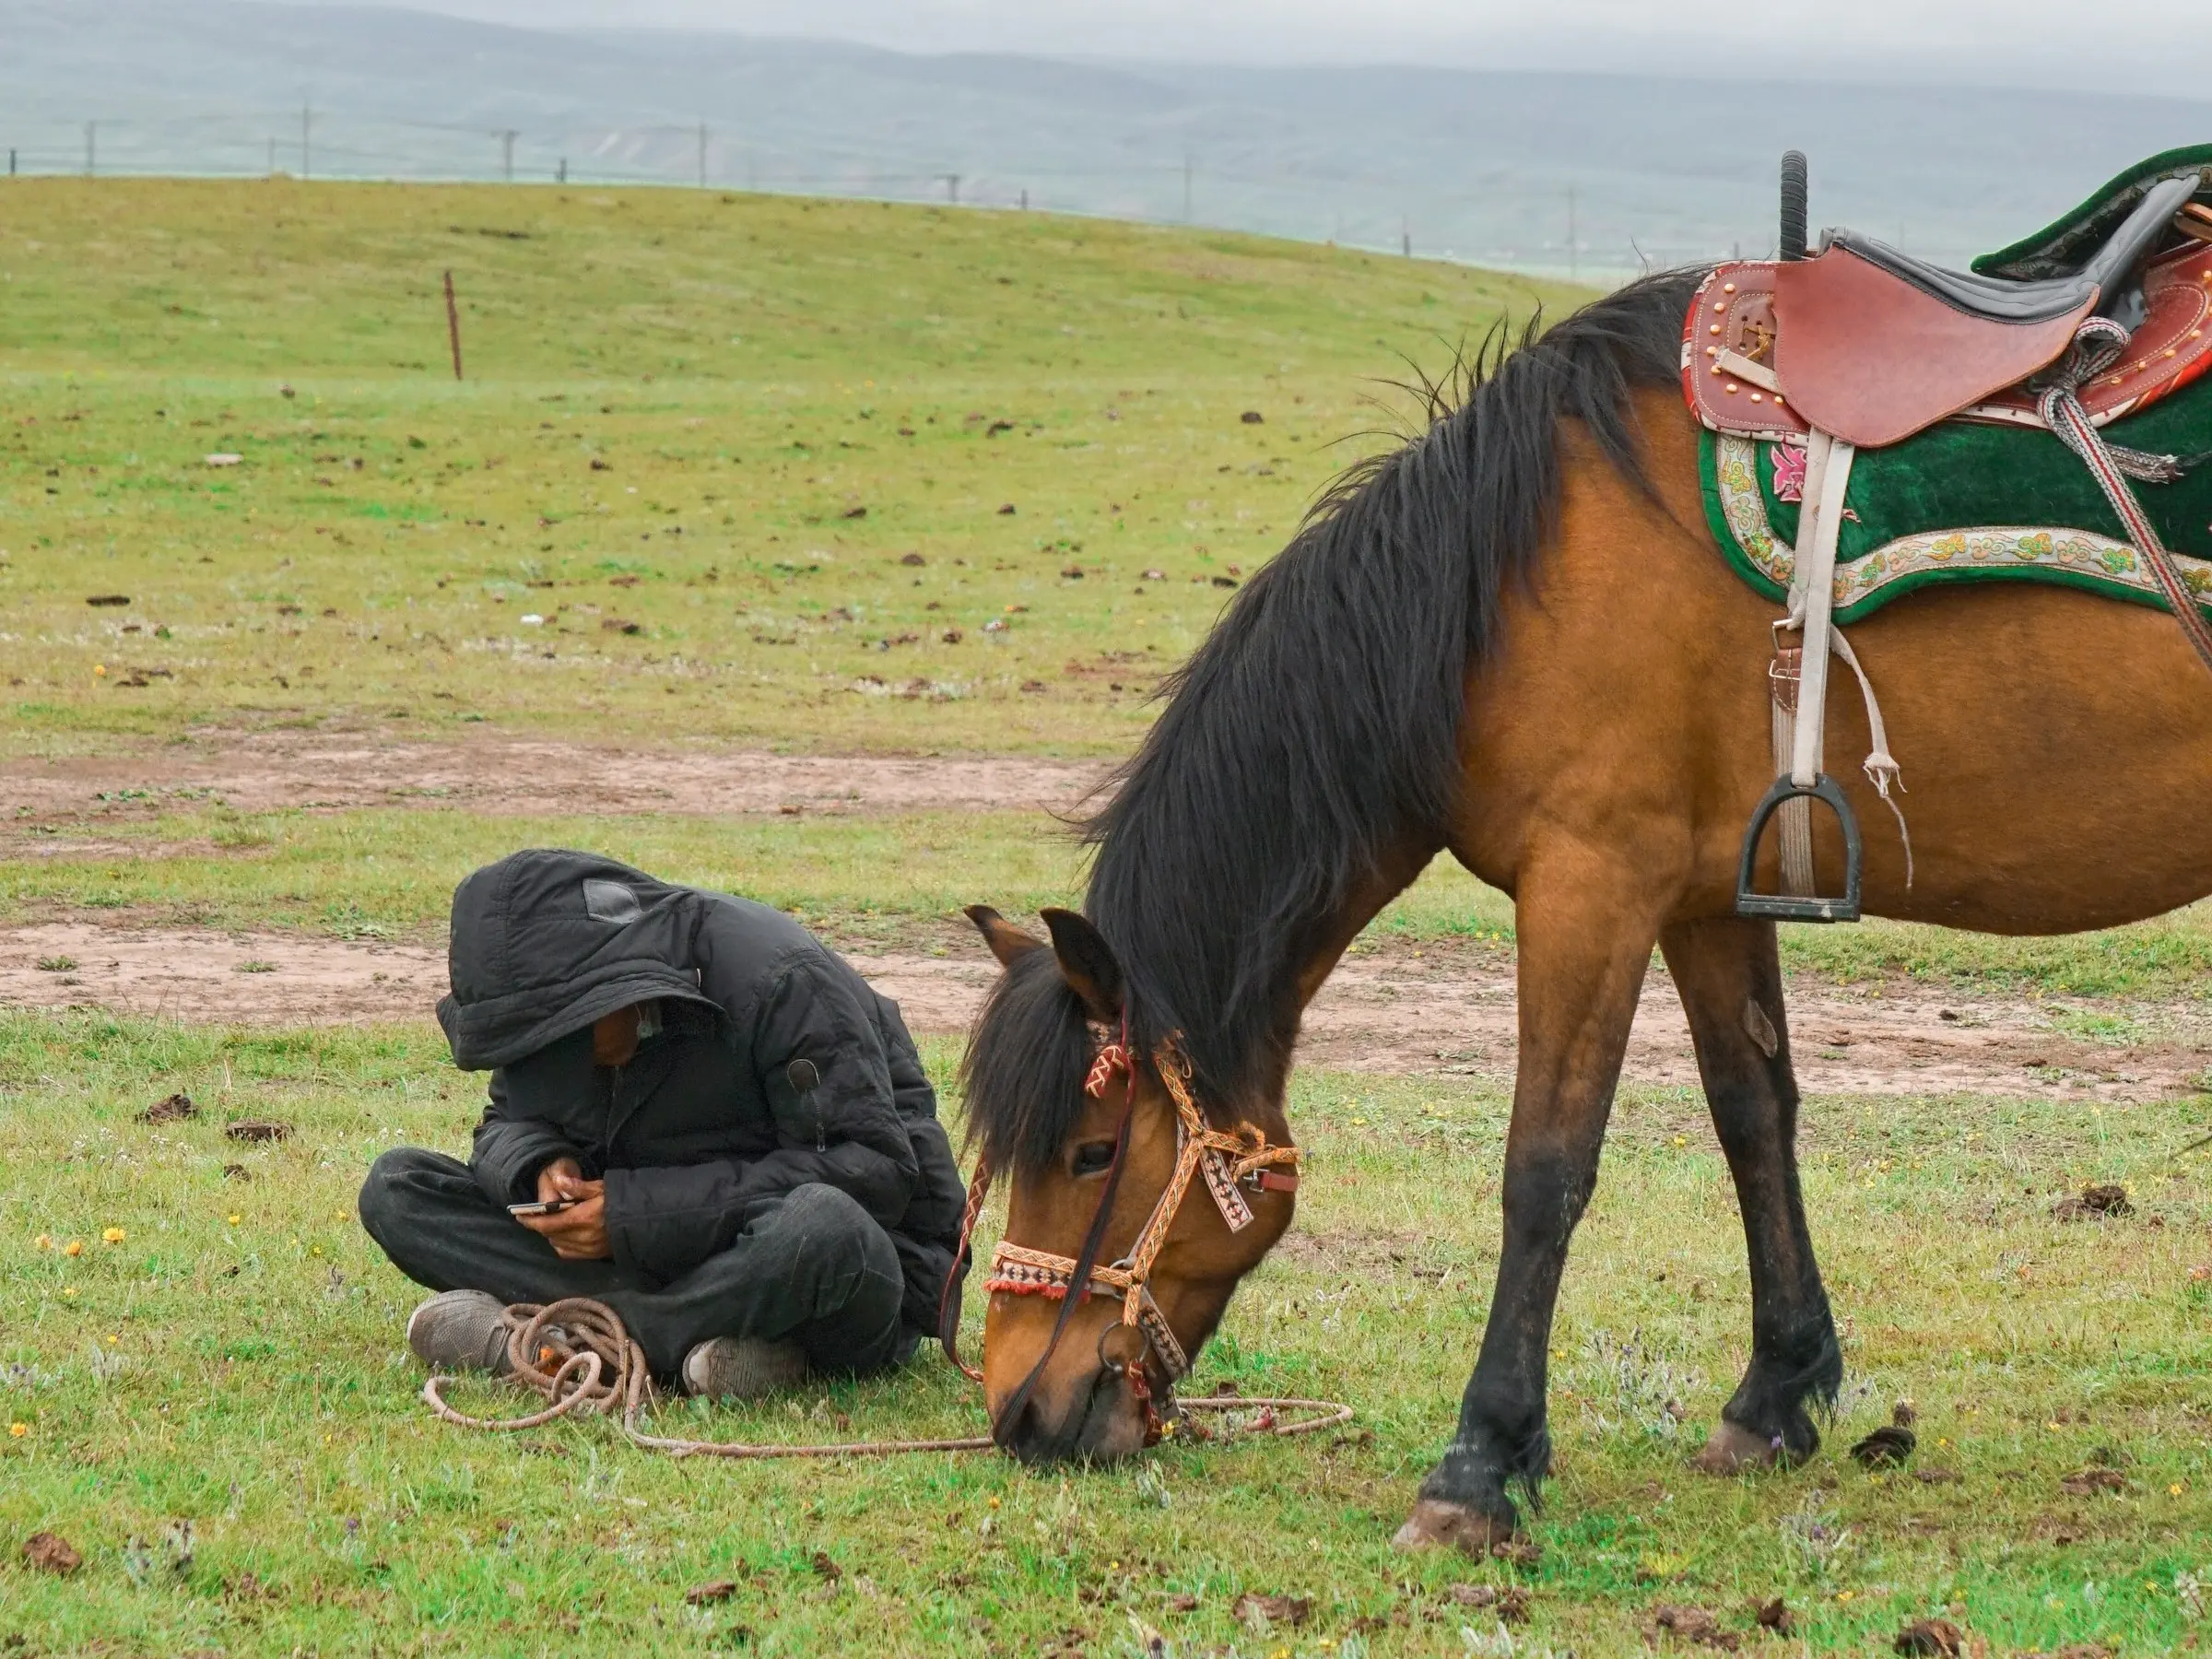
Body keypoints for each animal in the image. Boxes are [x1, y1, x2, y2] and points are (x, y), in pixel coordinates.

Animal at [947, 266, 2212, 1557]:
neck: (1495, 584)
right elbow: (1754, 1117)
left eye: (1094, 1151)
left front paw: (1478, 1467)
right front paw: (1776, 1397)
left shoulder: (1590, 882)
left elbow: (1543, 1168)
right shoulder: (1707, 895)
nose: (1019, 1411)